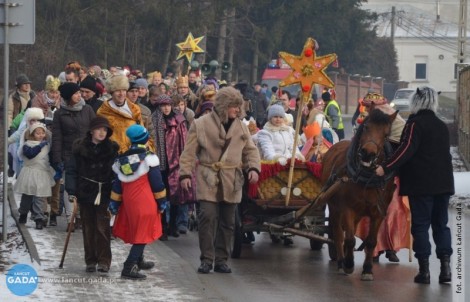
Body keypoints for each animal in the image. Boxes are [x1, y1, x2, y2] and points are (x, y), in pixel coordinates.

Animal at [316, 108, 396, 280]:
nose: (368, 153)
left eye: (386, 134)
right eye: (366, 127)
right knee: (338, 233)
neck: (366, 179)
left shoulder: (378, 212)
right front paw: (348, 264)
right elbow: (350, 239)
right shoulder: (347, 209)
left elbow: (371, 241)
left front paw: (367, 269)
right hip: (334, 206)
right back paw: (341, 261)